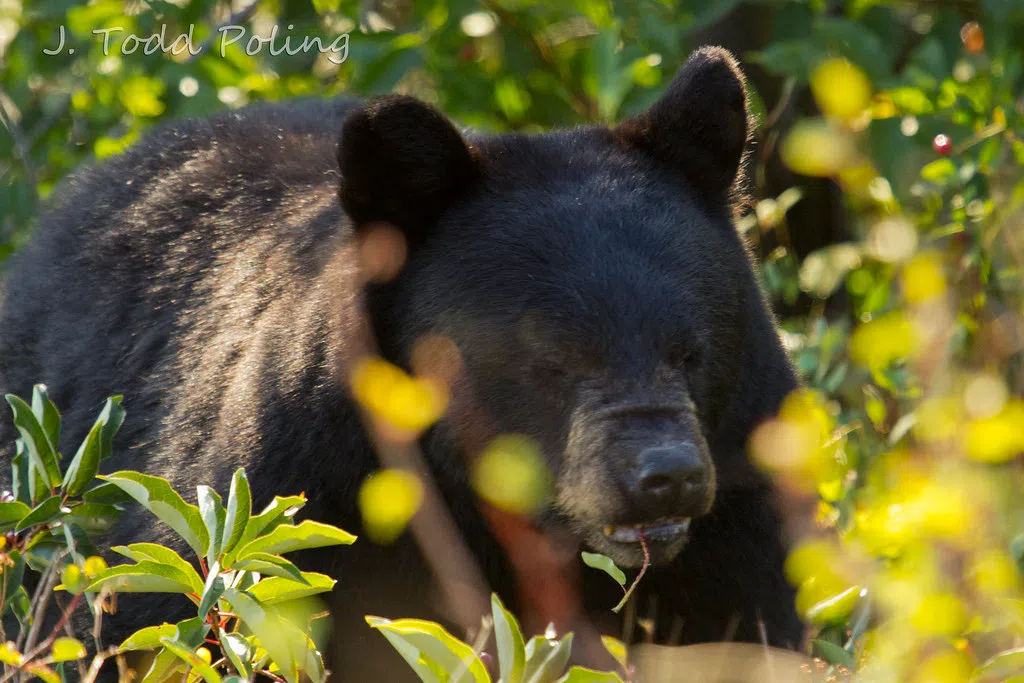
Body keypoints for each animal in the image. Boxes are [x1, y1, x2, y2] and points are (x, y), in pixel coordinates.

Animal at [0, 46, 802, 679]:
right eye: (554, 359)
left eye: (690, 350)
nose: (666, 475)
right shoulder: (283, 495)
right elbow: (160, 617)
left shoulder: (739, 506)